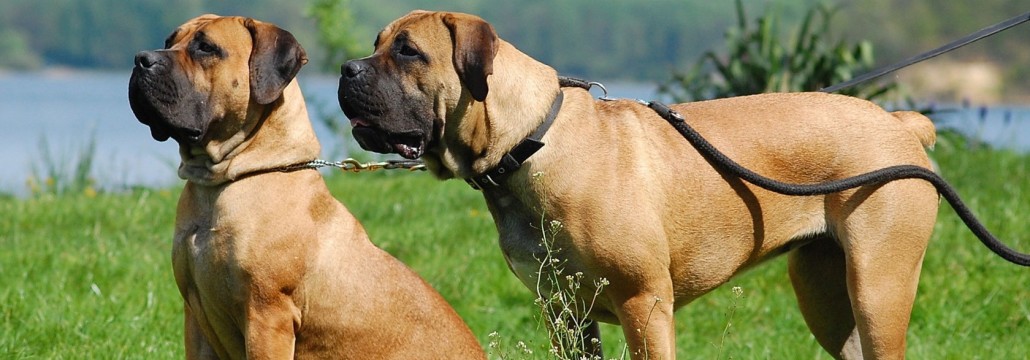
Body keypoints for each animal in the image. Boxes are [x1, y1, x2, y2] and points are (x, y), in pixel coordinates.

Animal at [125, 14, 486, 360]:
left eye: (205, 48)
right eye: (169, 42)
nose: (141, 59)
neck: (223, 183)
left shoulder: (267, 316)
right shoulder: (196, 319)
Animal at [339, 9, 947, 357]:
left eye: (408, 51)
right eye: (378, 44)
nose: (347, 68)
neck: (528, 144)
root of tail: (899, 122)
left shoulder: (644, 303)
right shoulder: (564, 313)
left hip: (879, 284)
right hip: (823, 289)